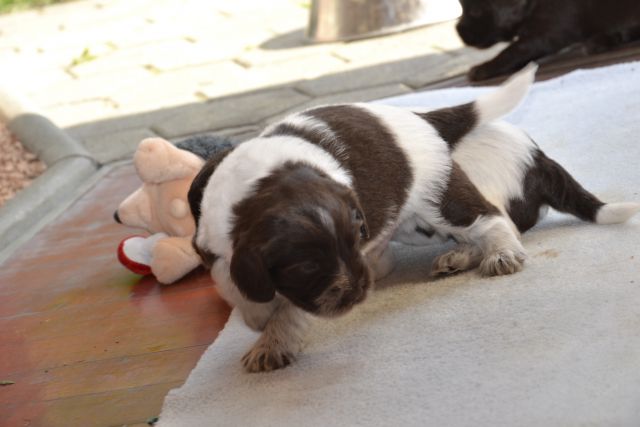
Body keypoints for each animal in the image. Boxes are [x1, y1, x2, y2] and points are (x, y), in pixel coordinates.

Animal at [189, 65, 640, 372]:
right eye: (304, 266)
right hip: (414, 224)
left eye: (352, 240)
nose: (358, 292)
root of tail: (420, 118)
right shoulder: (214, 245)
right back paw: (453, 258)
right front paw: (255, 313)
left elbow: (290, 308)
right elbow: (231, 282)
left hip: (440, 200)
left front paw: (272, 340)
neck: (258, 181)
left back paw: (498, 254)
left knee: (492, 220)